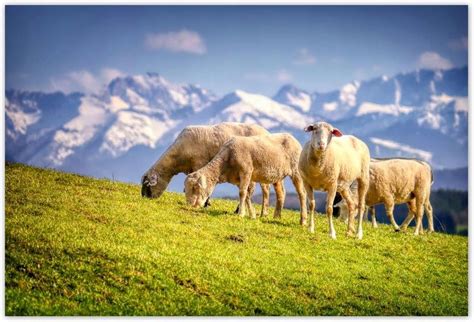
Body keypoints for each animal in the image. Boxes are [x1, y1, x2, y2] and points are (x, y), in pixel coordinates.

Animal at [139, 122, 278, 215]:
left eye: (148, 186)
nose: (145, 199)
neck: (177, 158)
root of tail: (267, 133)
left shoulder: (199, 163)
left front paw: (206, 203)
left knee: (263, 189)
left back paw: (260, 212)